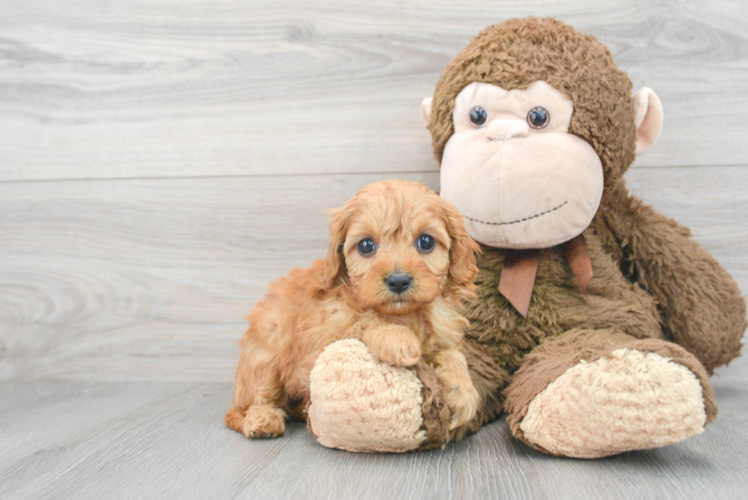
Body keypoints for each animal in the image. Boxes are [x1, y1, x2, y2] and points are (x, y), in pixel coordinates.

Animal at [224, 179, 480, 438]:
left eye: (426, 242)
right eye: (366, 245)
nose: (398, 281)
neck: (404, 314)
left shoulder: (443, 334)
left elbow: (453, 354)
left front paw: (463, 393)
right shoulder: (322, 340)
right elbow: (362, 320)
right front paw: (396, 337)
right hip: (267, 347)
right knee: (258, 395)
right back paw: (263, 419)